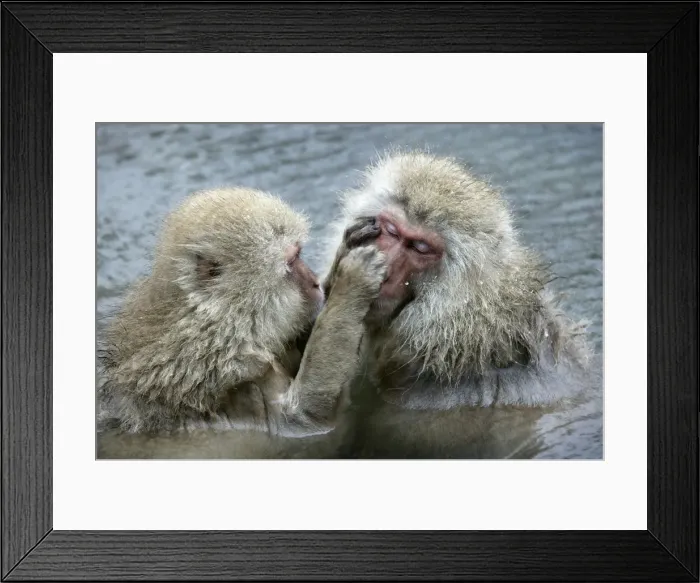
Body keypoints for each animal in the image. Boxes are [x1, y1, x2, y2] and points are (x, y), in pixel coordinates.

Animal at [96, 187, 386, 459]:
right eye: (293, 261)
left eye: (300, 255)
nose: (315, 283)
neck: (222, 323)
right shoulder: (230, 368)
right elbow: (304, 416)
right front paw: (351, 283)